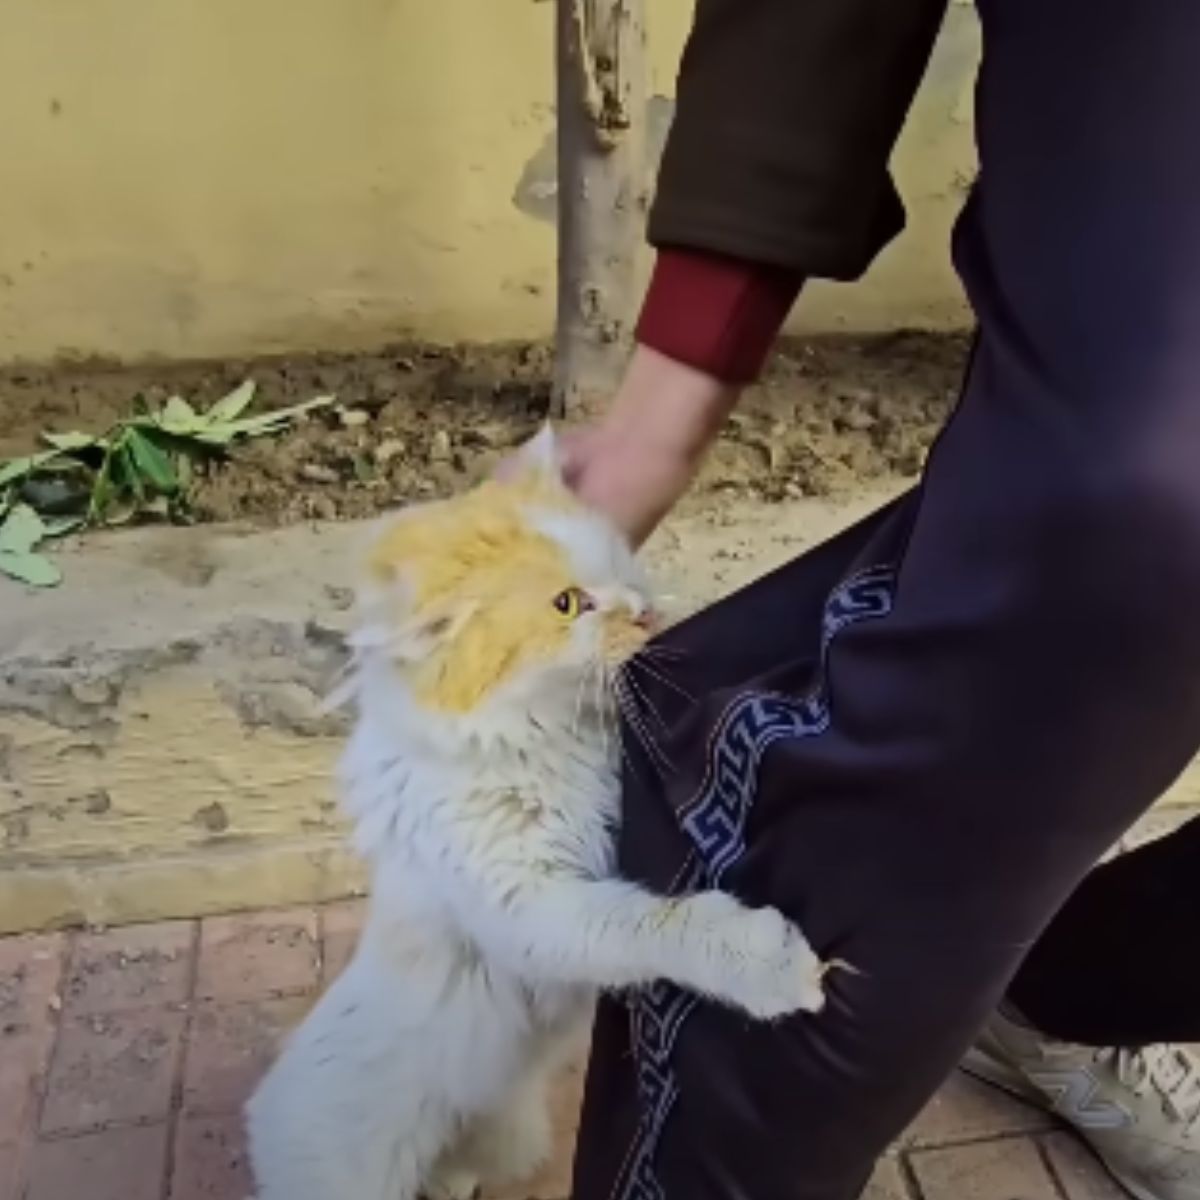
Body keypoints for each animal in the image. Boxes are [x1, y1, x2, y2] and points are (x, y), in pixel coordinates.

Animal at [243, 427, 825, 1200]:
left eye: (617, 562)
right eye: (567, 604)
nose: (644, 610)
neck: (539, 735)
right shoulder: (533, 905)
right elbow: (657, 922)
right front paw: (767, 962)